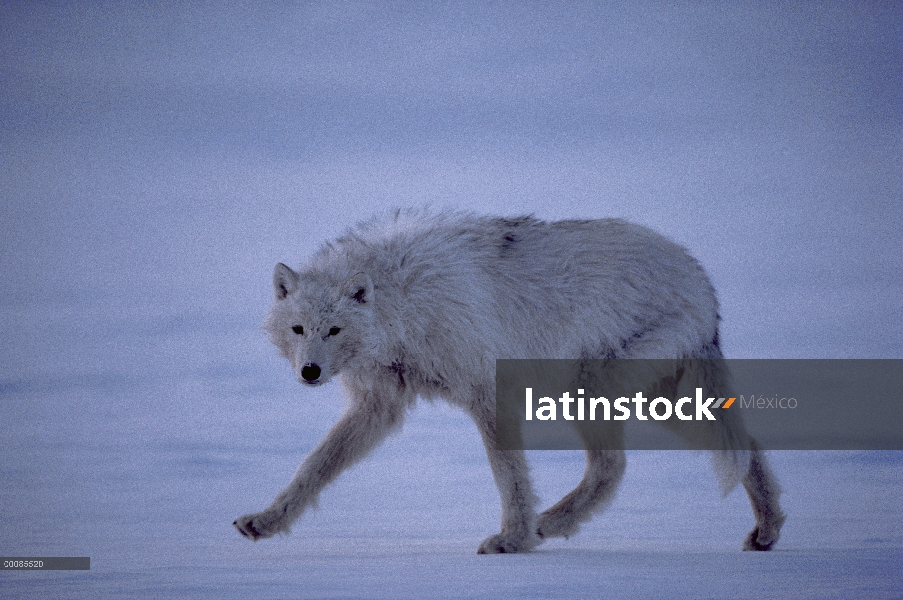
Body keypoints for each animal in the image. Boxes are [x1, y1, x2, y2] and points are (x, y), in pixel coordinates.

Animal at [233, 210, 784, 552]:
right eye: (299, 329)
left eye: (334, 330)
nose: (309, 372)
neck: (404, 301)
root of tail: (702, 280)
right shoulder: (379, 407)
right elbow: (314, 467)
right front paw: (265, 521)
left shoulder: (488, 393)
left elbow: (509, 477)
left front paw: (512, 541)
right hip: (649, 399)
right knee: (743, 447)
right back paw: (767, 531)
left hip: (594, 390)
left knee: (614, 467)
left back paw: (547, 526)